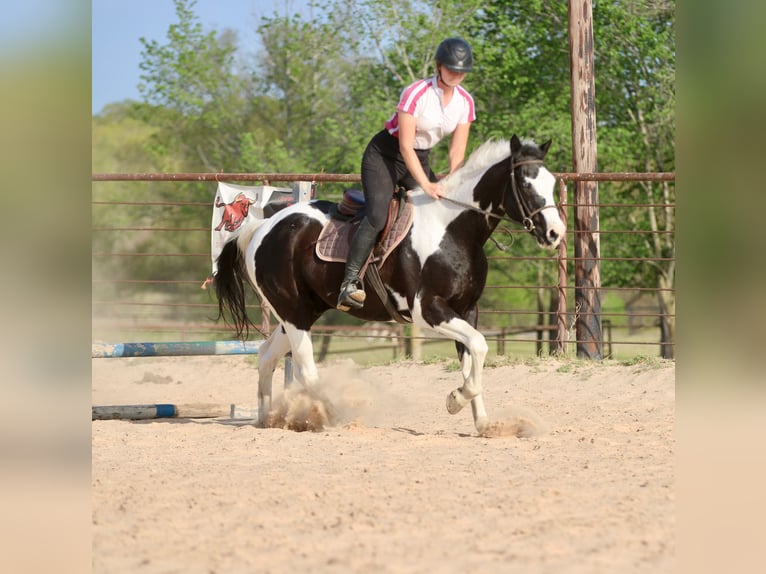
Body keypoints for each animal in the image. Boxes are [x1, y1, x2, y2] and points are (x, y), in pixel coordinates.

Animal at [214, 134, 566, 433]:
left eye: (550, 183)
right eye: (525, 183)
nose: (555, 233)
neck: (452, 229)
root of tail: (261, 227)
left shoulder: (467, 310)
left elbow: (471, 359)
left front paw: (484, 424)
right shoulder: (430, 310)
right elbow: (479, 346)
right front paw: (455, 400)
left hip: (302, 312)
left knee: (266, 356)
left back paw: (268, 419)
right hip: (294, 313)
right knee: (306, 369)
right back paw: (333, 417)